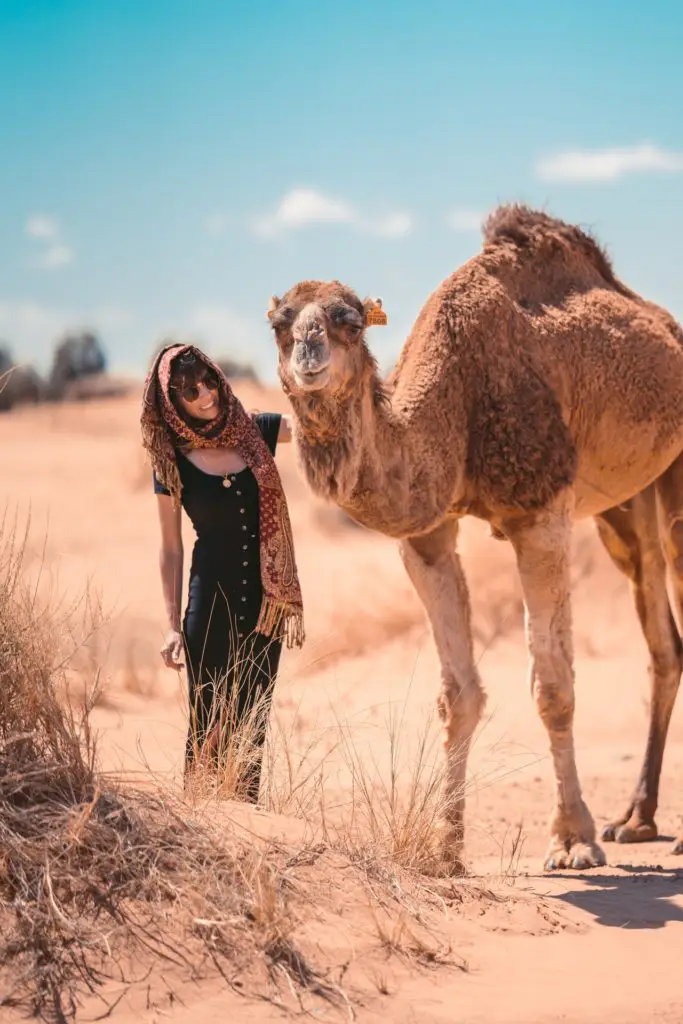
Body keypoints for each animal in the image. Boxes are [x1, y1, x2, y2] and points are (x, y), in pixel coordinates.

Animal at [266, 205, 683, 872]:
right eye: (280, 322)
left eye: (349, 322)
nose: (308, 352)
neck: (454, 400)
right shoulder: (428, 534)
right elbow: (457, 693)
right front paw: (445, 847)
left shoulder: (540, 511)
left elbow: (553, 686)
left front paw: (572, 839)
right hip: (625, 505)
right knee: (660, 632)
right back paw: (636, 819)